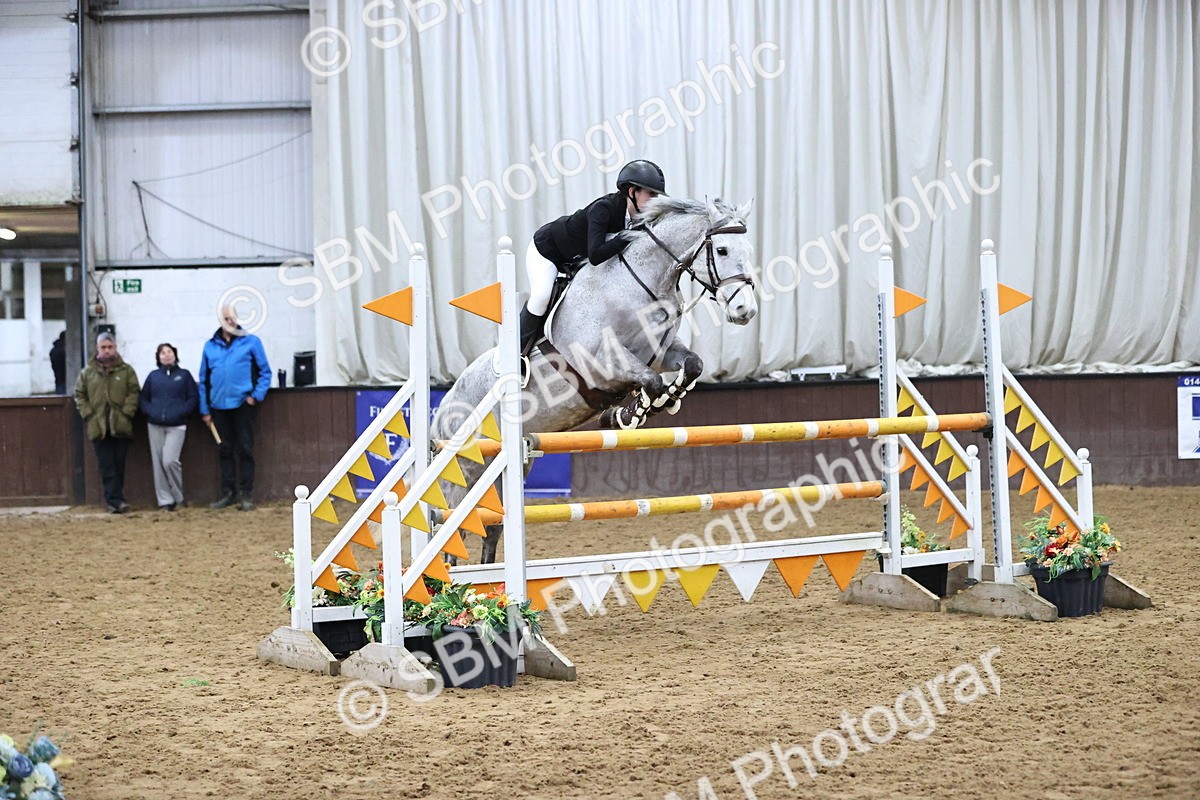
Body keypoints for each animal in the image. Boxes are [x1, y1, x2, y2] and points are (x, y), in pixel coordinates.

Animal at [432, 196, 758, 563]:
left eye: (748, 250)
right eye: (723, 251)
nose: (745, 311)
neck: (641, 285)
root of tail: (442, 410)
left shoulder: (660, 351)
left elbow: (692, 365)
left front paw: (665, 401)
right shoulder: (599, 360)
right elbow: (649, 381)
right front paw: (628, 414)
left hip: (503, 472)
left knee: (491, 528)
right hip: (463, 471)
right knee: (450, 532)